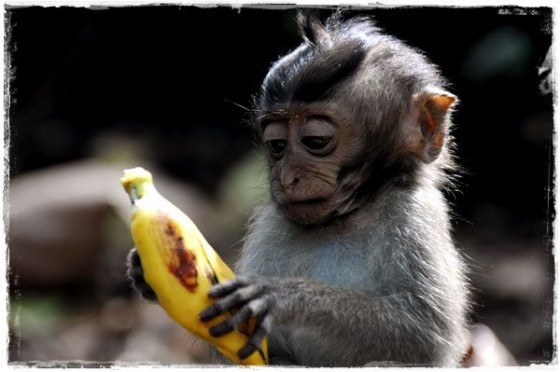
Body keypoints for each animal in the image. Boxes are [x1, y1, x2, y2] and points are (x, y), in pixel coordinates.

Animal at [126, 10, 468, 368]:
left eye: (316, 141)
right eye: (276, 145)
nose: (287, 177)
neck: (342, 219)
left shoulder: (412, 215)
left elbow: (426, 336)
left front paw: (282, 296)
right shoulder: (271, 223)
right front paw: (143, 272)